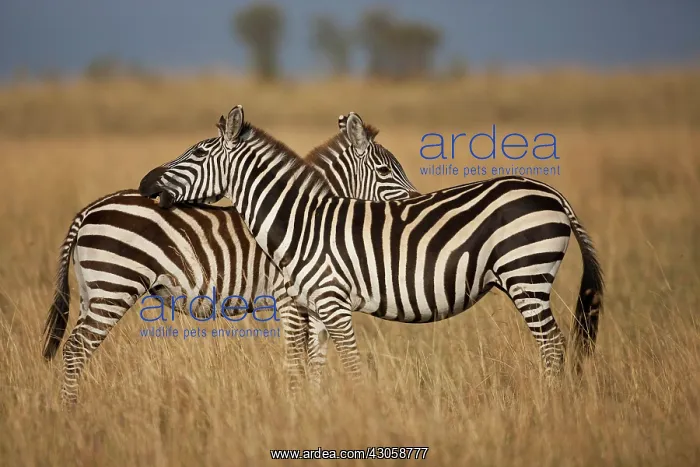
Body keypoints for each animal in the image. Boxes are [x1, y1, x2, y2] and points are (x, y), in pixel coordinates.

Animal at [42, 112, 418, 405]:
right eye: (386, 171)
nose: (416, 200)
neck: (306, 218)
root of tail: (89, 209)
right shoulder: (289, 297)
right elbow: (299, 356)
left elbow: (314, 356)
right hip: (113, 286)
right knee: (76, 350)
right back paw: (70, 415)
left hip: (93, 290)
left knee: (75, 349)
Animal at [139, 105, 604, 385]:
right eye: (385, 170)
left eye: (197, 154)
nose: (145, 184)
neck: (300, 221)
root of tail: (550, 191)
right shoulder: (312, 305)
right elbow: (313, 366)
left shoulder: (326, 301)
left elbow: (346, 366)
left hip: (527, 275)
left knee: (552, 344)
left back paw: (547, 402)